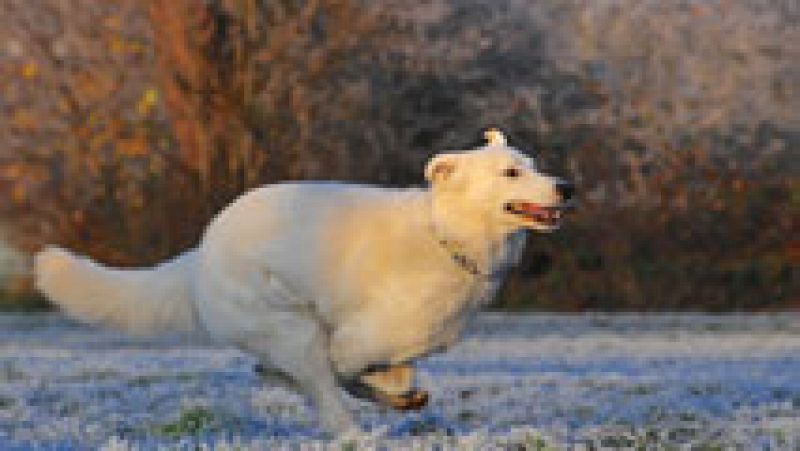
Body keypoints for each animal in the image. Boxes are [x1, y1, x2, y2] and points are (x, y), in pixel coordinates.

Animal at [34, 130, 572, 434]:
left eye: (535, 165)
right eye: (510, 172)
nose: (567, 187)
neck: (447, 235)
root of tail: (199, 254)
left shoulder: (398, 344)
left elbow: (384, 374)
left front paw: (398, 393)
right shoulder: (354, 340)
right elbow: (346, 371)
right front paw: (382, 394)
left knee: (281, 373)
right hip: (294, 329)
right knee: (324, 399)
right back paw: (356, 432)